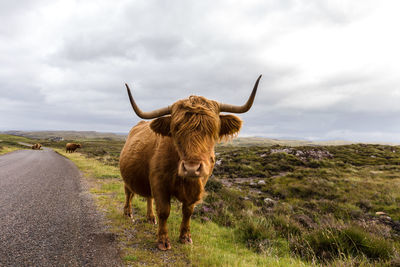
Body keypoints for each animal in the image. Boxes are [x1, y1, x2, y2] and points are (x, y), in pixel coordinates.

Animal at [119, 76, 262, 251]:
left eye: (213, 130)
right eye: (176, 129)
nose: (192, 169)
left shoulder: (199, 183)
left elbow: (188, 211)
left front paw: (185, 237)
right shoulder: (159, 183)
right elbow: (164, 211)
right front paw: (163, 241)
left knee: (148, 197)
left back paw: (150, 218)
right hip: (128, 178)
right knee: (129, 193)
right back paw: (128, 213)